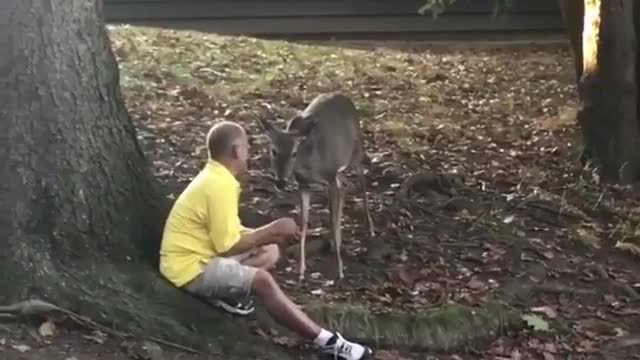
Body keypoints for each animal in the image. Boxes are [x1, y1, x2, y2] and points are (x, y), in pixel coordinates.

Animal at [255, 91, 376, 280]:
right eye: (273, 151)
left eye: (294, 153)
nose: (280, 181)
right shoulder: (303, 185)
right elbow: (304, 223)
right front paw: (301, 270)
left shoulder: (330, 177)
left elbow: (331, 222)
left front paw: (340, 270)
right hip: (340, 170)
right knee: (346, 186)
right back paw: (337, 243)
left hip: (355, 152)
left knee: (362, 183)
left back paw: (370, 229)